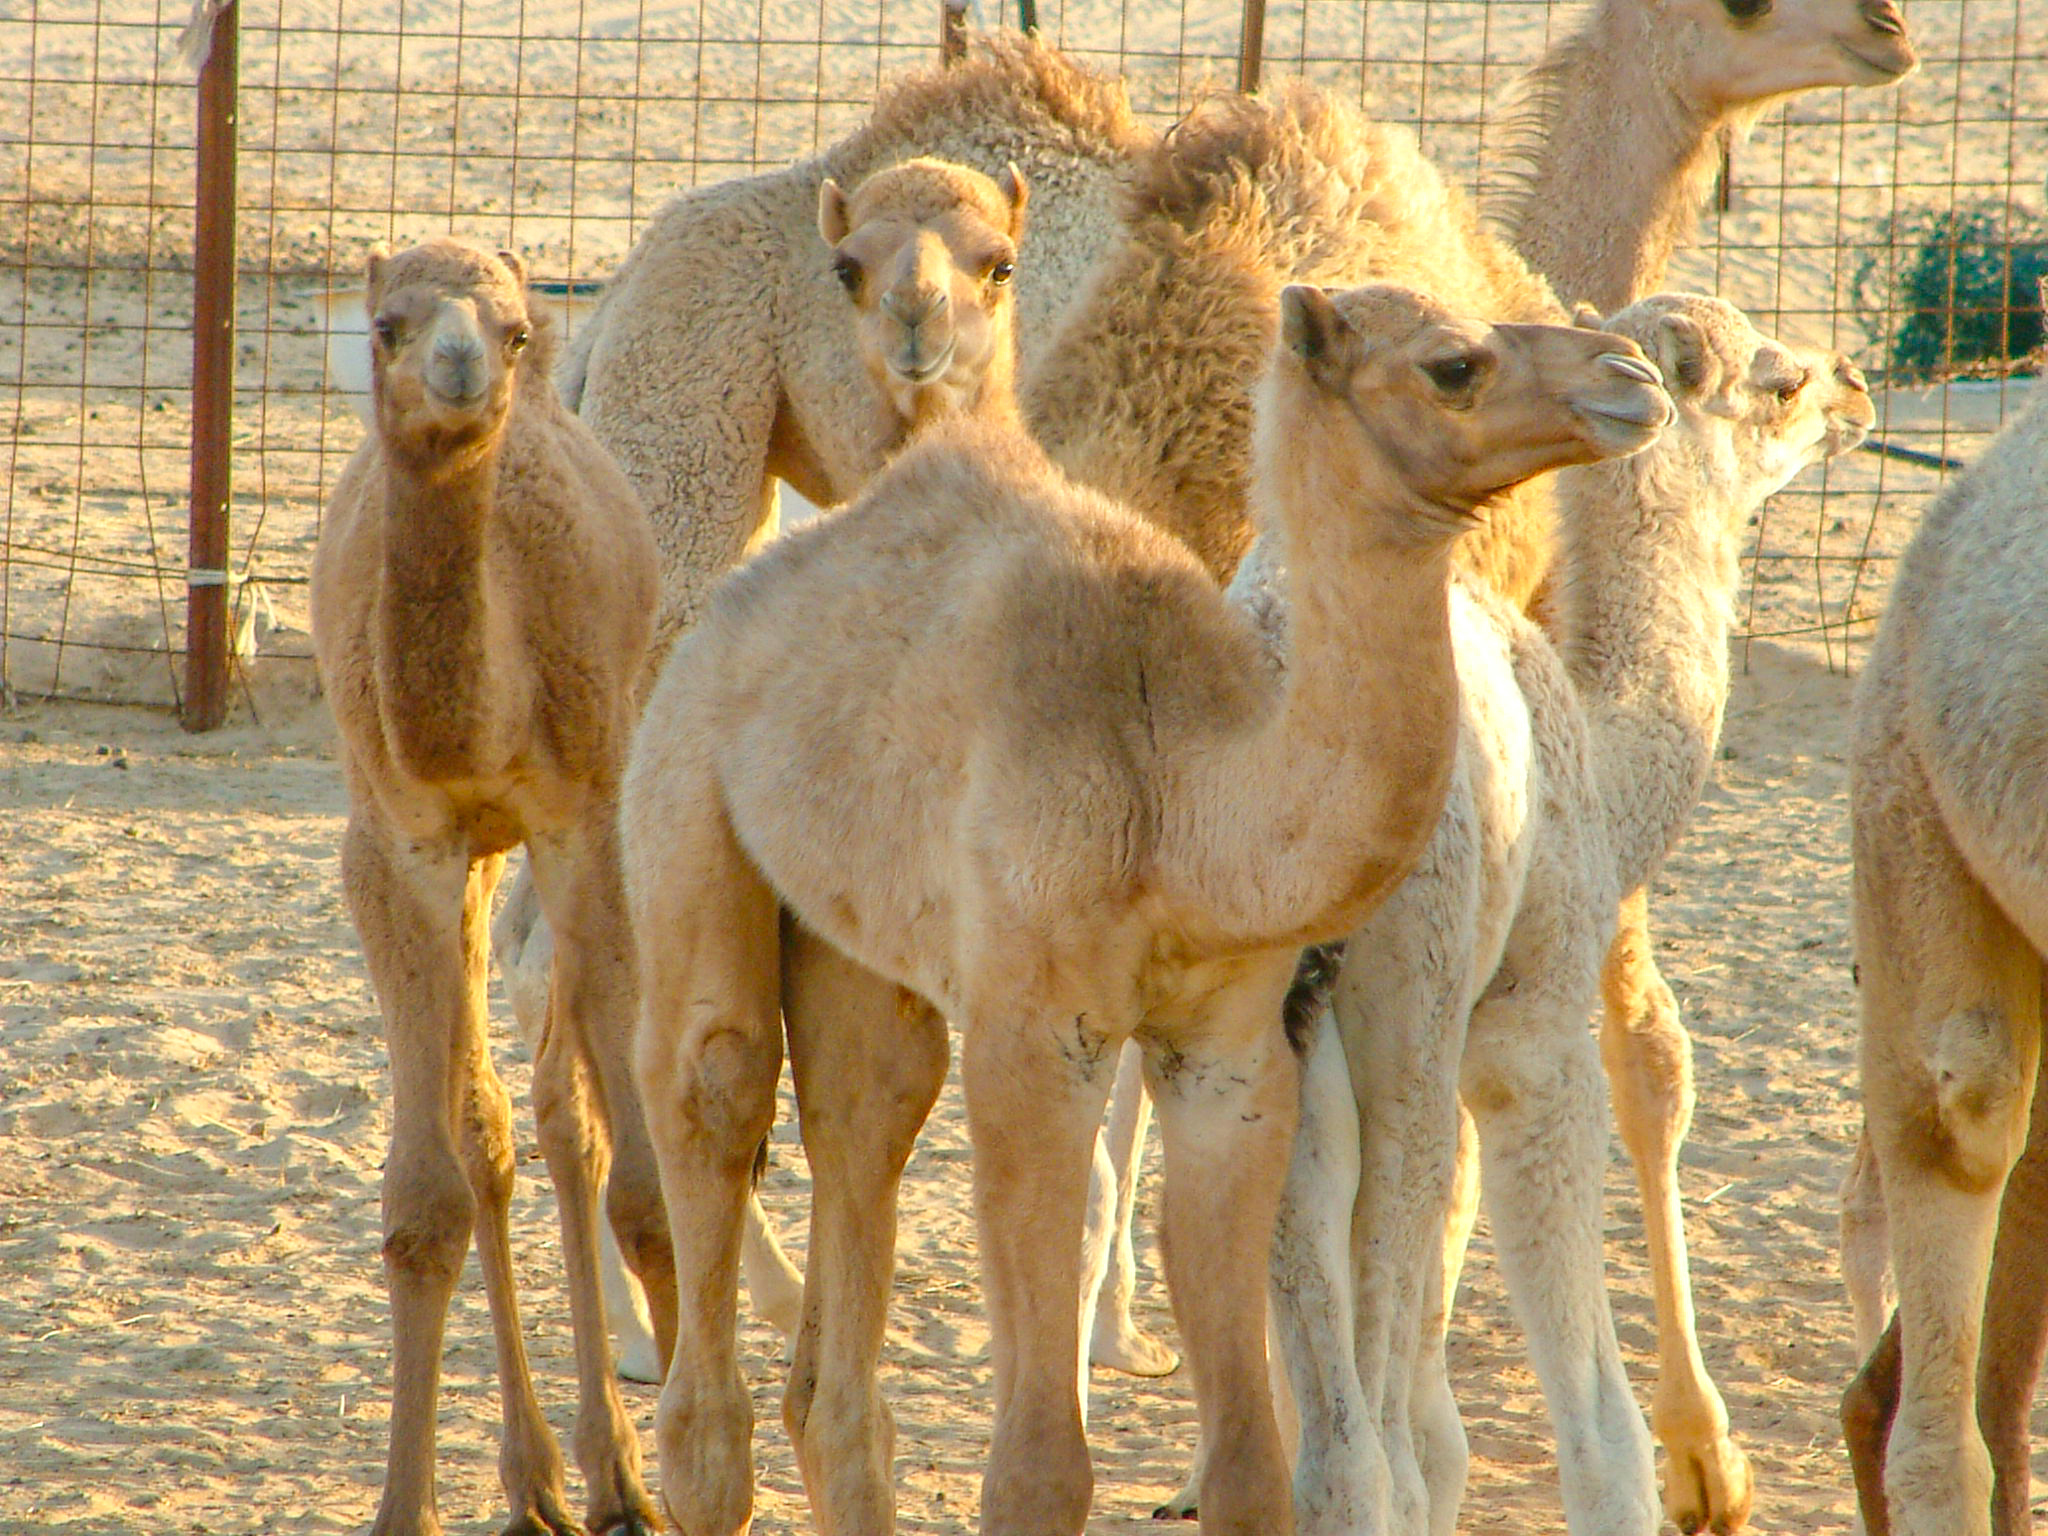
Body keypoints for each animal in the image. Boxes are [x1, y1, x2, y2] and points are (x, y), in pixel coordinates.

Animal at [308, 238, 664, 1536]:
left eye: (514, 329)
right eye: (388, 325)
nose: (461, 363)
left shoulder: (583, 820)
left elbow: (642, 1190)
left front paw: (683, 1483)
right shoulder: (397, 848)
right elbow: (428, 1201)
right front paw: (401, 1506)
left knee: (575, 1118)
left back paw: (607, 1471)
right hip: (472, 861)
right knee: (501, 1131)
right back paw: (539, 1482)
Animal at [619, 254, 1673, 1536]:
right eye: (1452, 364)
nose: (1627, 375)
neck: (1178, 801)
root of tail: (741, 596)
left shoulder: (1232, 1048)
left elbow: (1250, 1467)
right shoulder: (1034, 1043)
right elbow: (1037, 1470)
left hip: (847, 928)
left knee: (865, 1116)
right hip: (682, 796)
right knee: (713, 1084)